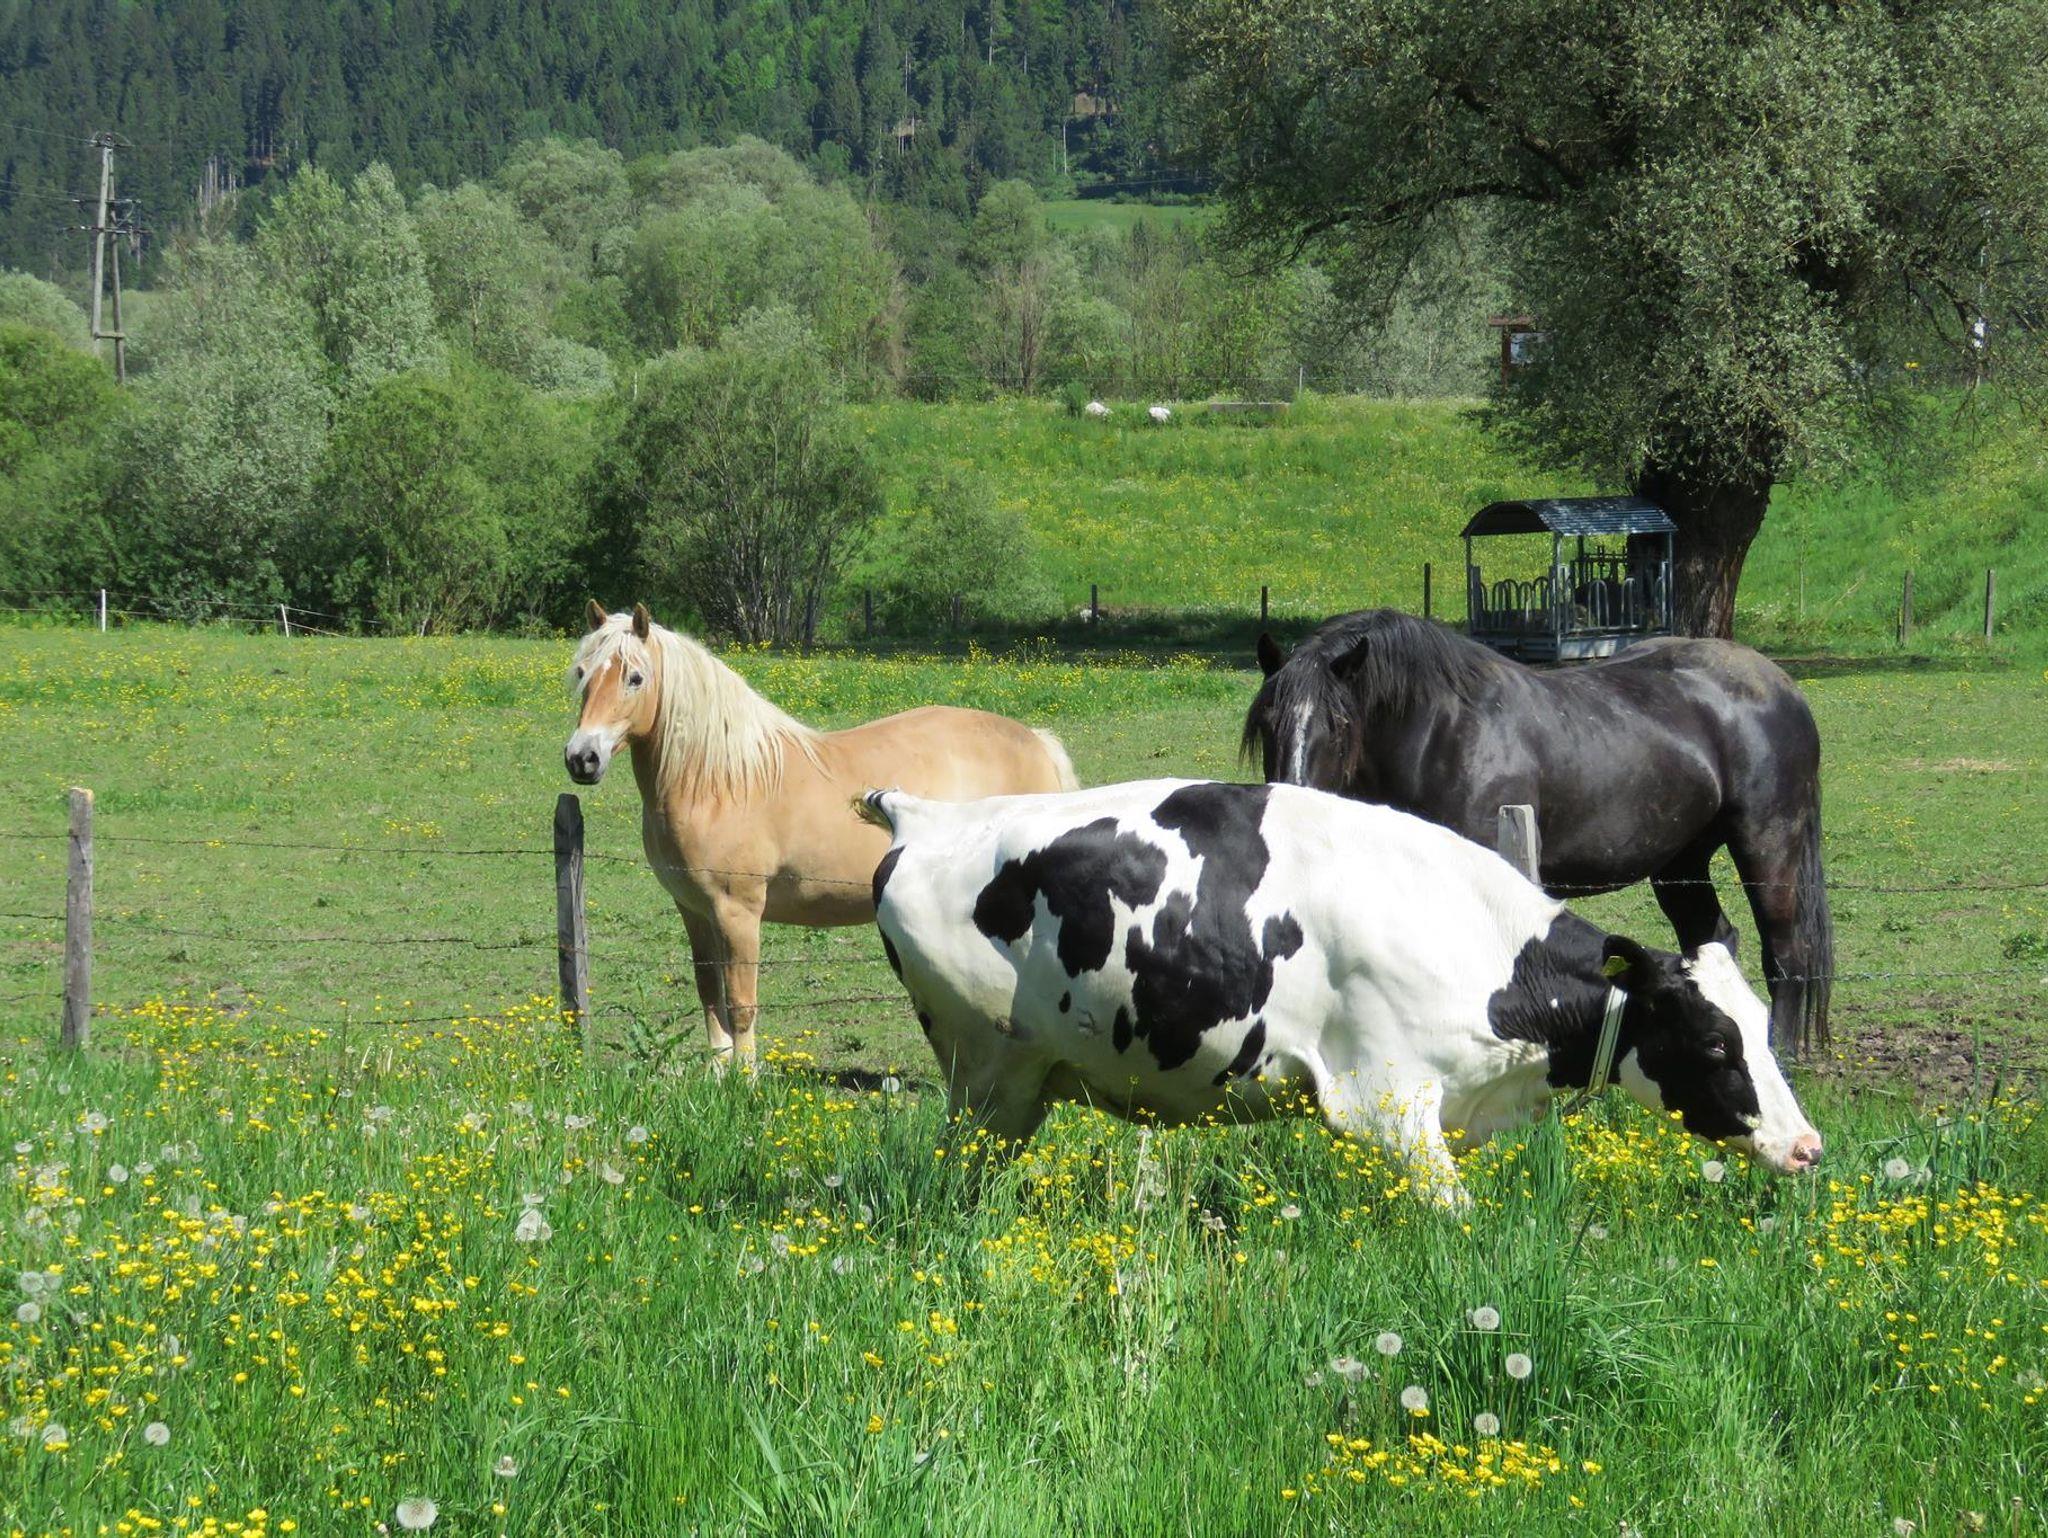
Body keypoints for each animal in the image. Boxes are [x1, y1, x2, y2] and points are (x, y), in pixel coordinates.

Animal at [565, 601, 1080, 1069]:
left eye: (635, 678)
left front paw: (744, 1082)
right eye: (583, 672)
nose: (582, 758)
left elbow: (741, 1003)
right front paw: (717, 1074)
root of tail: (1036, 741)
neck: (720, 781)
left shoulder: (738, 911)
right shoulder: (694, 910)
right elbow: (710, 994)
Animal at [861, 778, 1821, 1205]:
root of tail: (932, 816)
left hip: (1006, 1094)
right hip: (989, 1077)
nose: (1808, 1147)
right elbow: (1455, 1218)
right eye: (1714, 1042)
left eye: (1764, 1029)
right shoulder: (1385, 1102)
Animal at [1243, 610, 1834, 1056]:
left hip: (1767, 845)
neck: (1441, 735)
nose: (1291, 800)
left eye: (1340, 723)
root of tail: (1783, 687)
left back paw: (1780, 1056)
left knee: (1786, 952)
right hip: (1680, 864)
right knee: (1713, 938)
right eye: (1267, 720)